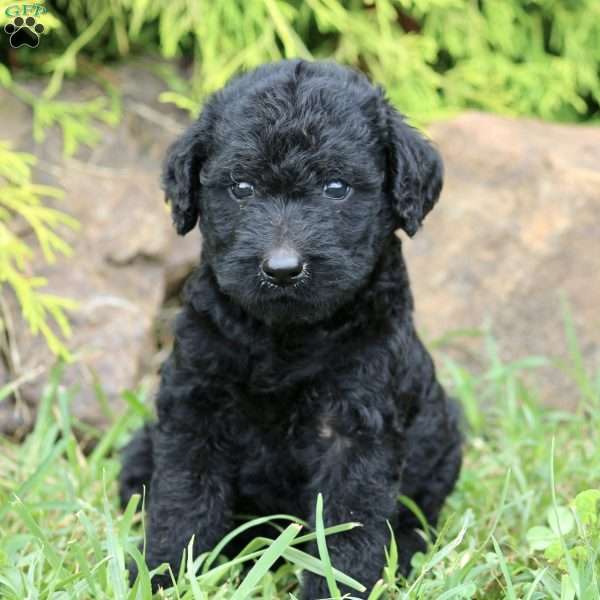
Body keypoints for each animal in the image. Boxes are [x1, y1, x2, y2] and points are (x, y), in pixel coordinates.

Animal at [119, 58, 462, 596]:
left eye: (337, 188)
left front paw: (340, 587)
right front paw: (163, 574)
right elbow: (183, 500)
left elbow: (347, 523)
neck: (284, 337)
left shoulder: (356, 424)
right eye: (241, 188)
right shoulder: (194, 403)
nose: (282, 269)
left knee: (416, 518)